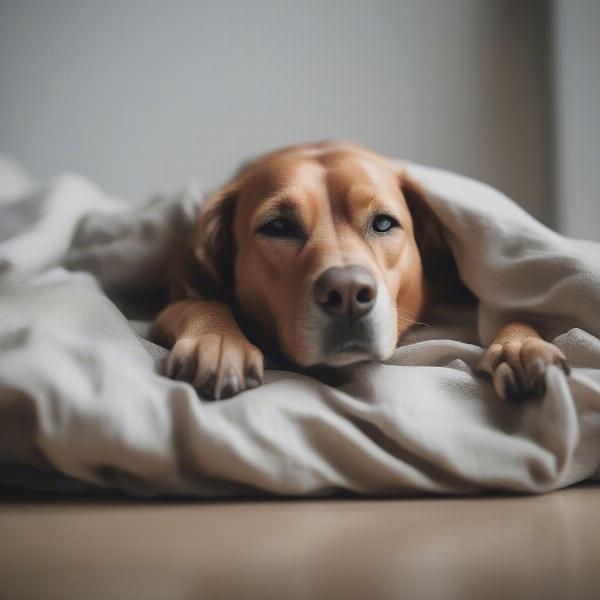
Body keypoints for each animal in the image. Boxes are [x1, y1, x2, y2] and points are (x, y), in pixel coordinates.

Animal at [152, 141, 568, 400]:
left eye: (383, 223)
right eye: (278, 227)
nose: (348, 293)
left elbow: (509, 311)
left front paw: (520, 345)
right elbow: (202, 303)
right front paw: (219, 341)